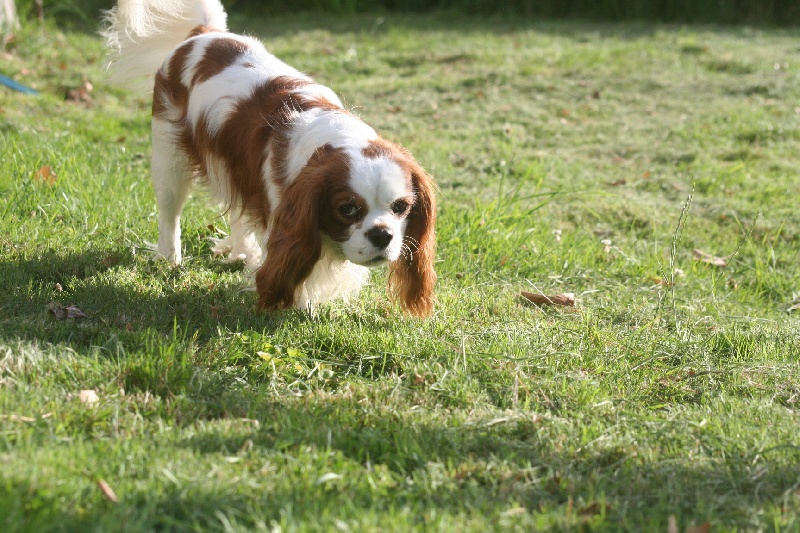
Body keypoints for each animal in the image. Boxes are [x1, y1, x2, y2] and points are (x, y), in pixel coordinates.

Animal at [104, 1, 438, 316]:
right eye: (347, 209)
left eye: (401, 207)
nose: (382, 234)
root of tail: (205, 34)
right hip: (169, 158)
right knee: (170, 213)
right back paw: (169, 258)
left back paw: (241, 252)